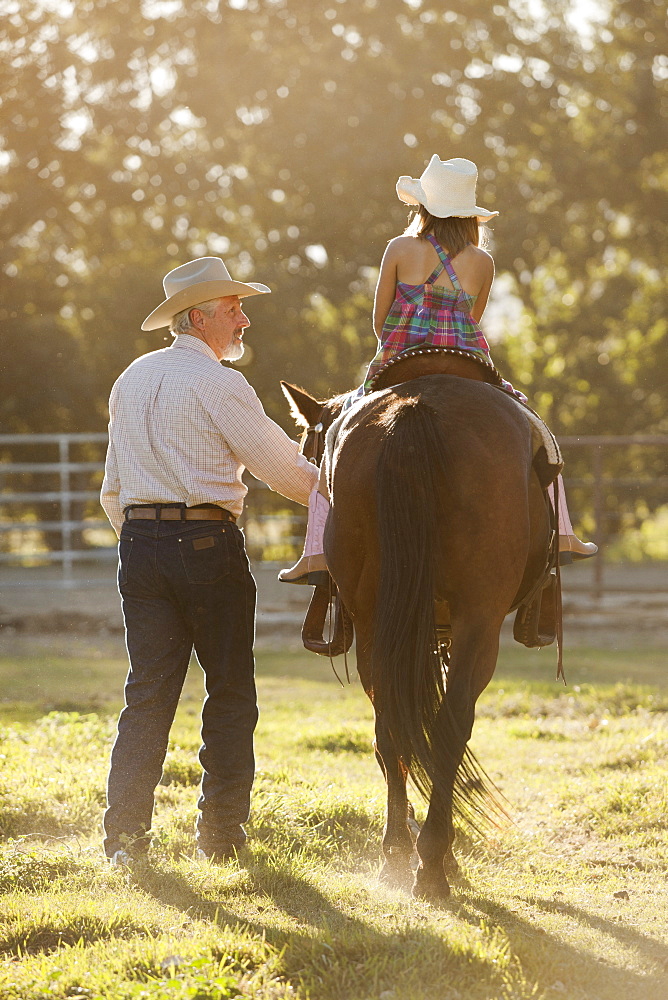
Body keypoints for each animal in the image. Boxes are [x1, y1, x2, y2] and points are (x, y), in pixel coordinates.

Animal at [282, 376, 552, 908]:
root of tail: (415, 409)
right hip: (476, 619)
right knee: (450, 725)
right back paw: (431, 863)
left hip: (375, 619)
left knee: (390, 726)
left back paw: (397, 853)